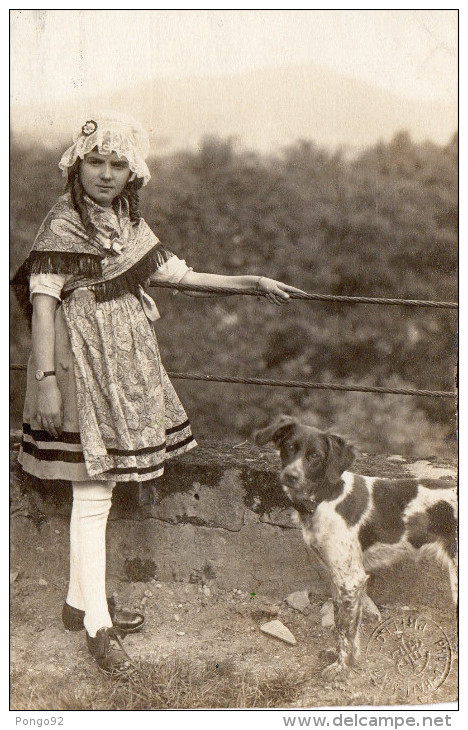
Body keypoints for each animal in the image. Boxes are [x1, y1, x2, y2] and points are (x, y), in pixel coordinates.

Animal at [254, 416, 456, 676]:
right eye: (289, 447)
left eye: (315, 456)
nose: (290, 476)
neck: (326, 497)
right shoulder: (337, 577)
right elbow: (345, 627)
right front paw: (348, 660)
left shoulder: (351, 578)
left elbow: (345, 629)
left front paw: (342, 668)